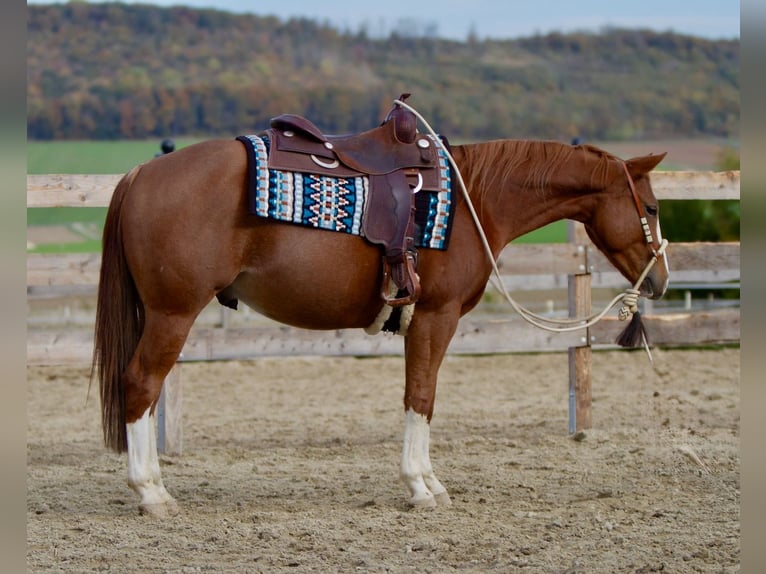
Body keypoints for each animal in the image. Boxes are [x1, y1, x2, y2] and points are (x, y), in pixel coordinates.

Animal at [92, 130, 669, 517]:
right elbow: (422, 396)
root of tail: (141, 174)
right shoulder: (435, 318)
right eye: (653, 208)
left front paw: (427, 482)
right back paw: (152, 493)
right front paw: (421, 487)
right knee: (140, 384)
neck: (475, 200)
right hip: (173, 314)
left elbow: (422, 398)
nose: (660, 280)